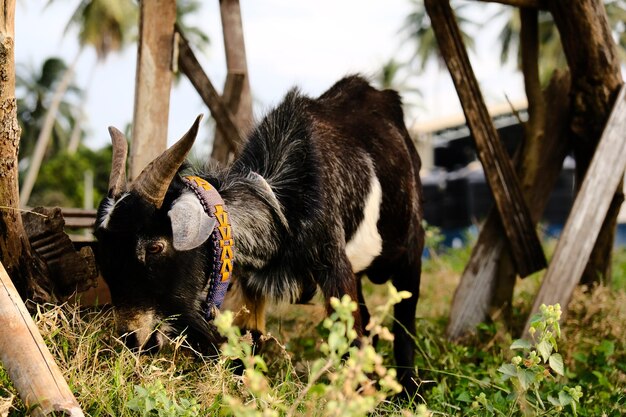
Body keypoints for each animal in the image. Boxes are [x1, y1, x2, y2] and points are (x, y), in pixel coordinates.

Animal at [94, 75, 424, 394]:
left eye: (155, 247)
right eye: (103, 254)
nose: (133, 339)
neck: (283, 201)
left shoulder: (334, 265)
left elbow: (352, 341)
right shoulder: (253, 282)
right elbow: (251, 342)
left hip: (410, 252)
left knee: (404, 325)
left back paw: (408, 391)